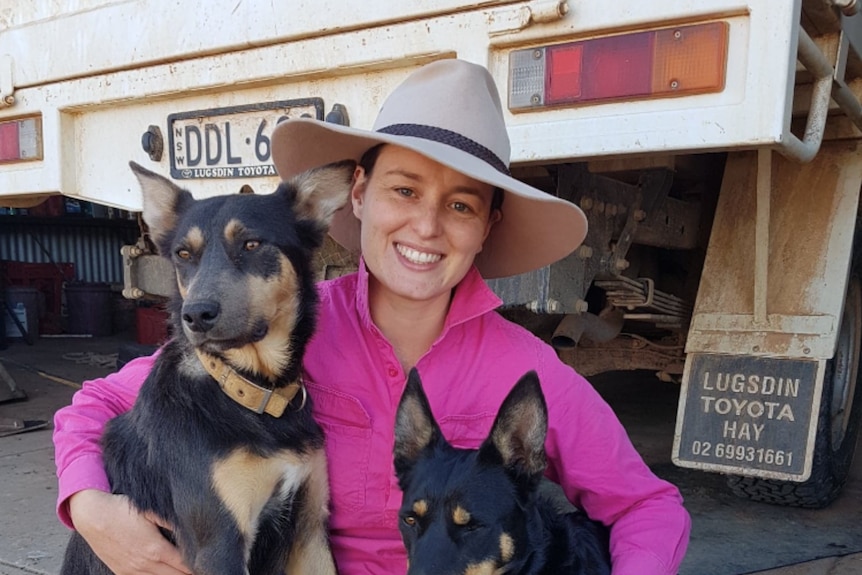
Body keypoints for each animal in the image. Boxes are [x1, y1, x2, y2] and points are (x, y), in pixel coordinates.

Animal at [60, 159, 356, 575]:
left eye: (251, 244)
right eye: (184, 254)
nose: (195, 315)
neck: (248, 390)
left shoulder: (309, 529)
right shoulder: (218, 543)